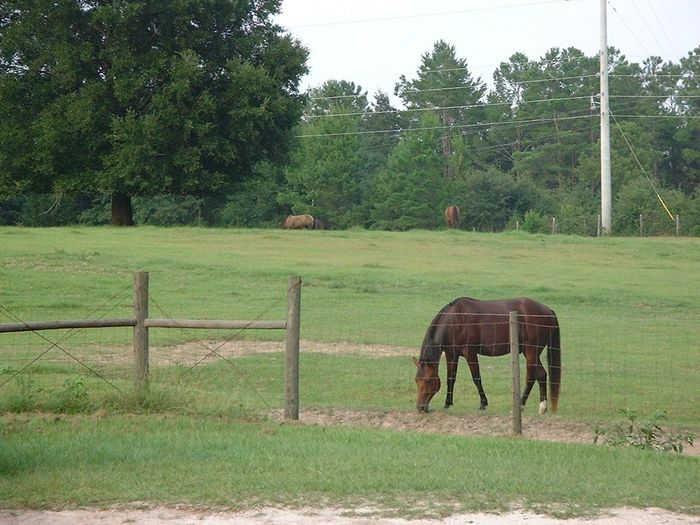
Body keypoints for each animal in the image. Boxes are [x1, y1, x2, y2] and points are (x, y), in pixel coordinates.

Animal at [414, 297, 561, 414]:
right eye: (416, 380)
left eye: (427, 380)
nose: (421, 407)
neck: (455, 320)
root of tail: (548, 311)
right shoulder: (451, 355)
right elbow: (450, 379)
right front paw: (447, 404)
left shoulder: (470, 353)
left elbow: (476, 378)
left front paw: (483, 404)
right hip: (530, 352)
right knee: (541, 375)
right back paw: (542, 408)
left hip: (531, 352)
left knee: (530, 378)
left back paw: (521, 405)